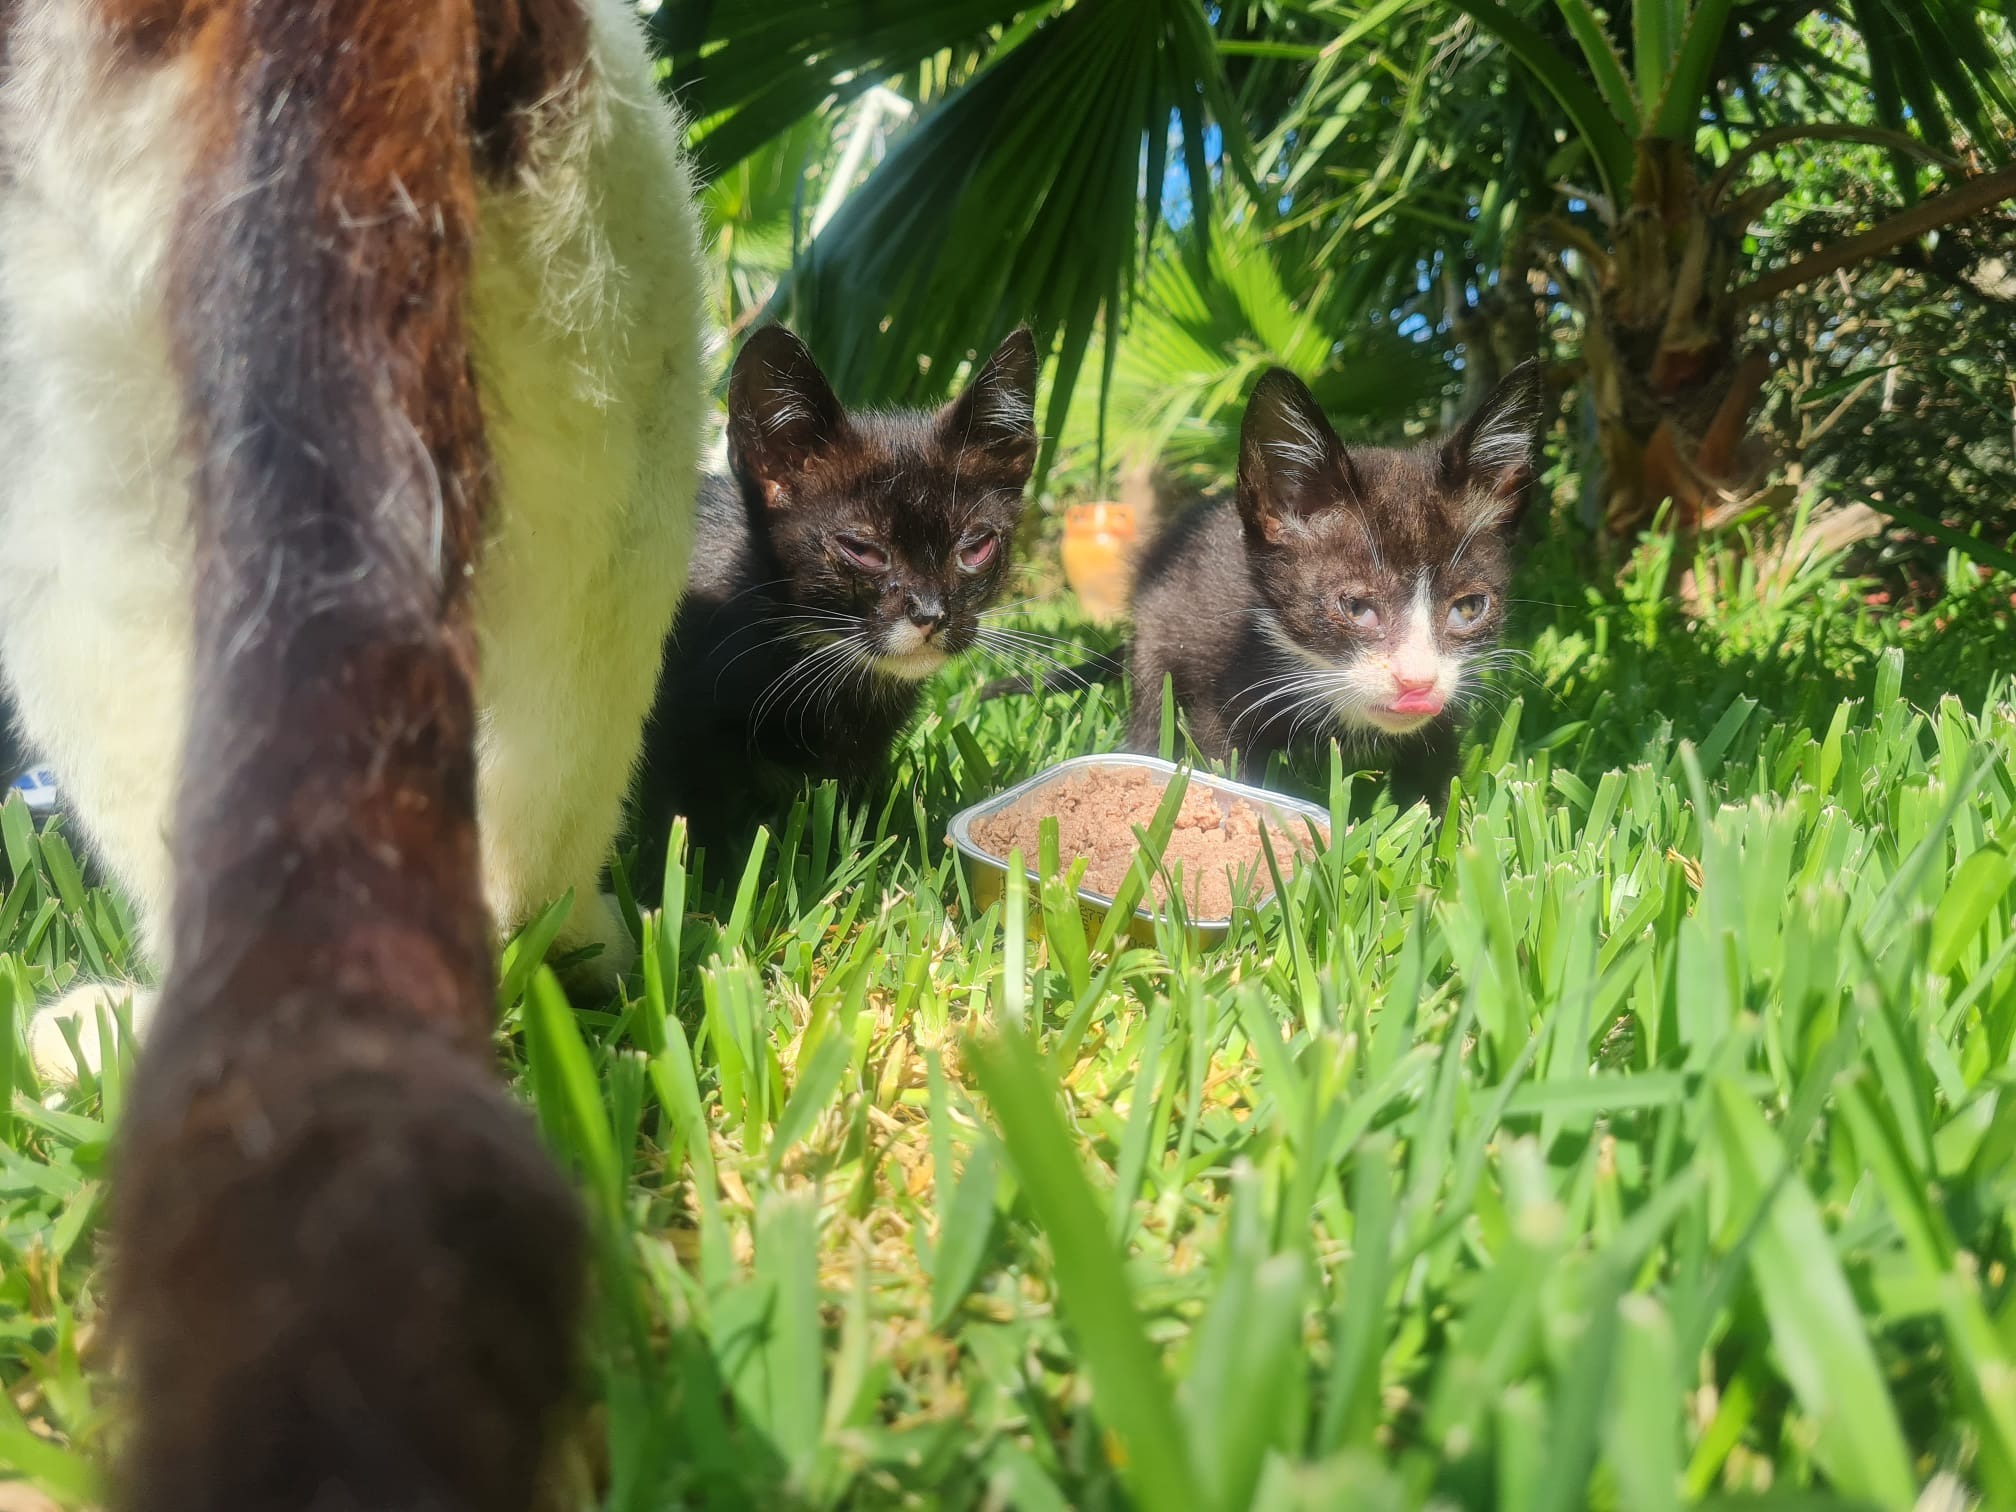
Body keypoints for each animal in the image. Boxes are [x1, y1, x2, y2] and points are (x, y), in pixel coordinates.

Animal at [1124, 362, 1542, 810]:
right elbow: (1226, 765)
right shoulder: (1224, 693)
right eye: (1357, 608)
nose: (1418, 684)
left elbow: (1434, 780)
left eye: (1469, 608)